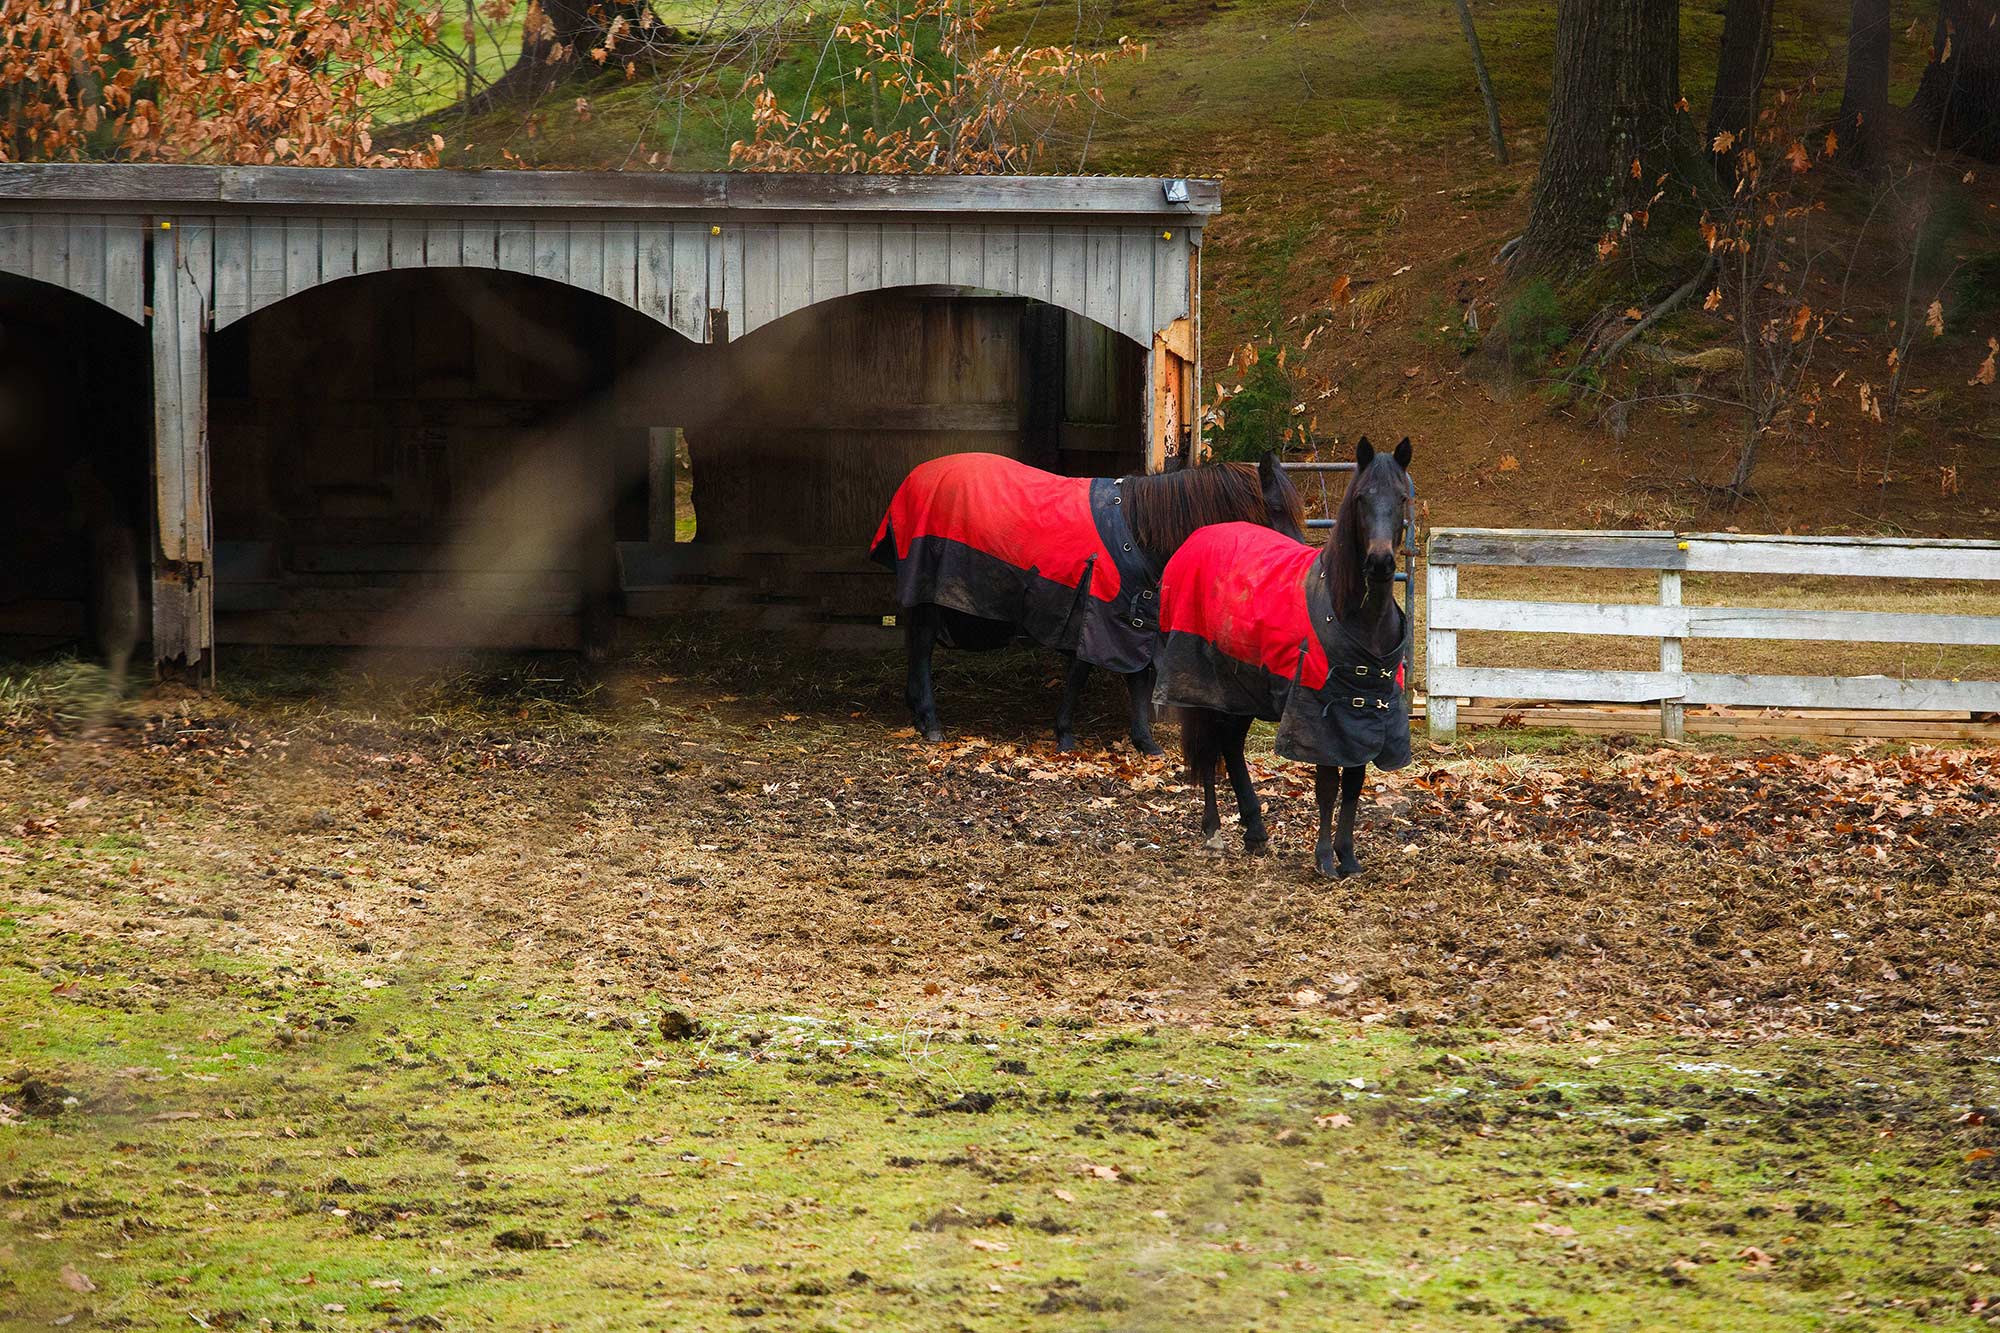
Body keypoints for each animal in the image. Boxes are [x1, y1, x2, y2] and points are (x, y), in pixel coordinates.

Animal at [868, 452, 1304, 752]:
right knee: (923, 648)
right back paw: (930, 719)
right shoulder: (1094, 612)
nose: (1301, 562)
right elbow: (1081, 671)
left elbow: (1137, 677)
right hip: (930, 590)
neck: (1137, 531)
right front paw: (1064, 733)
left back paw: (917, 710)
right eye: (1276, 510)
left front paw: (1145, 741)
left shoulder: (1133, 618)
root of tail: (912, 480)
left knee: (917, 645)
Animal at [1152, 434, 1416, 872]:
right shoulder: (1320, 715)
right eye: (1361, 498)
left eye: (1402, 498)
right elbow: (1327, 785)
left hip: (1242, 689)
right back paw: (1214, 831)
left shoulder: (1362, 714)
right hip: (1206, 688)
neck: (1356, 616)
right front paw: (1325, 859)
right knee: (1210, 748)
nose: (1380, 563)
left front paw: (1348, 857)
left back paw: (1255, 832)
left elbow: (1354, 784)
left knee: (1230, 746)